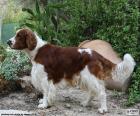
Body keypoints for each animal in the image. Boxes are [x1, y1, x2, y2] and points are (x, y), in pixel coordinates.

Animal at [7, 28, 135, 113]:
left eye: (19, 36)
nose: (8, 42)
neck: (37, 51)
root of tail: (96, 54)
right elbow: (46, 93)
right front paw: (44, 101)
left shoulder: (44, 78)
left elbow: (46, 92)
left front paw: (44, 104)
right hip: (86, 78)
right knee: (93, 92)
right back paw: (85, 103)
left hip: (90, 76)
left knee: (101, 93)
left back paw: (103, 109)